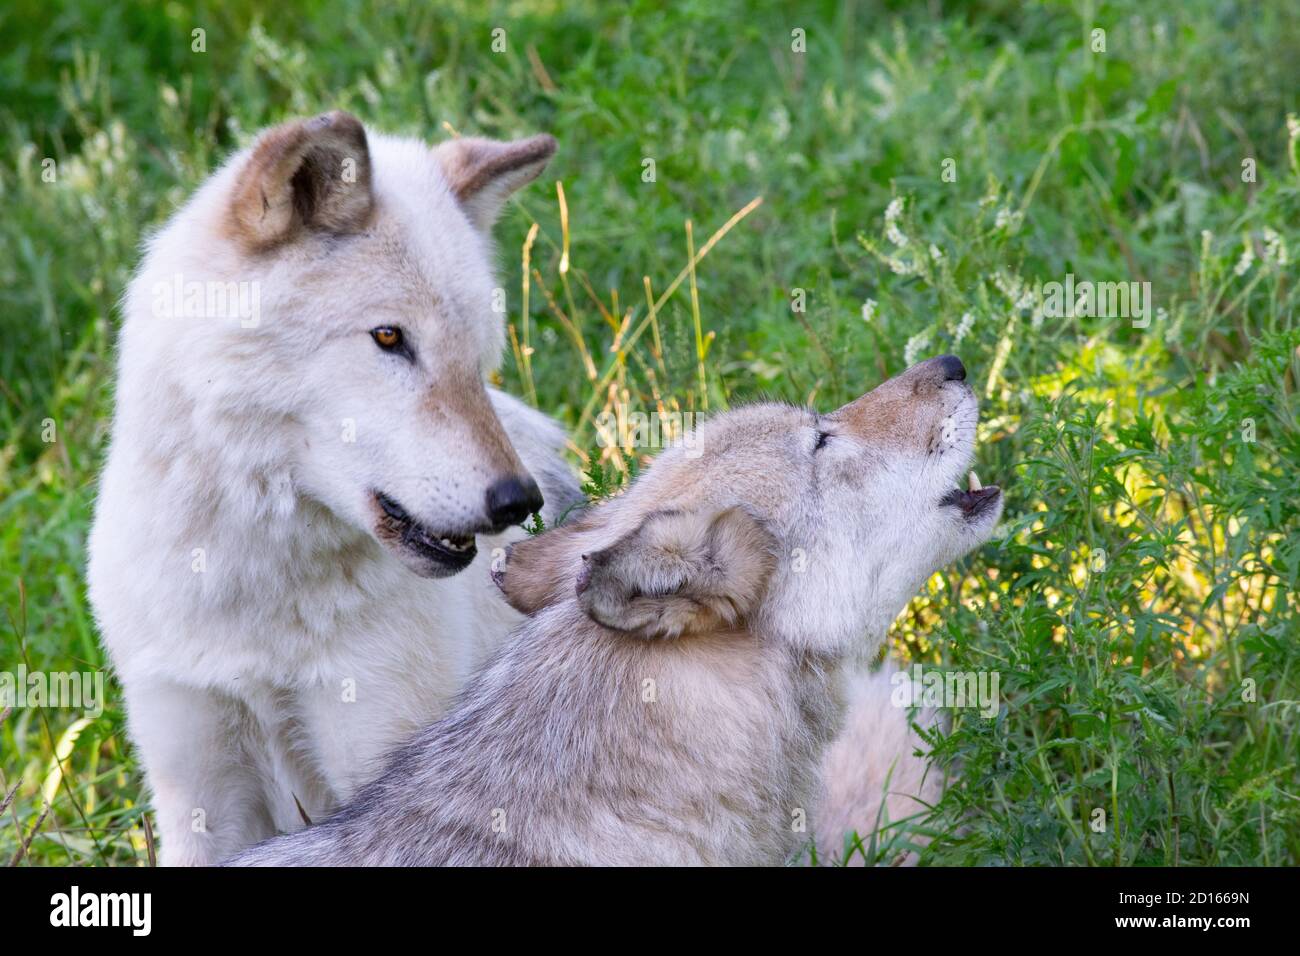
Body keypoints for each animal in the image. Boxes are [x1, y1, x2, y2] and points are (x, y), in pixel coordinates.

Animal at [89, 111, 946, 868]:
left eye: (479, 357)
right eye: (390, 338)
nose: (517, 504)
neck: (259, 591)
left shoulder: (382, 752)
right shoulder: (195, 782)